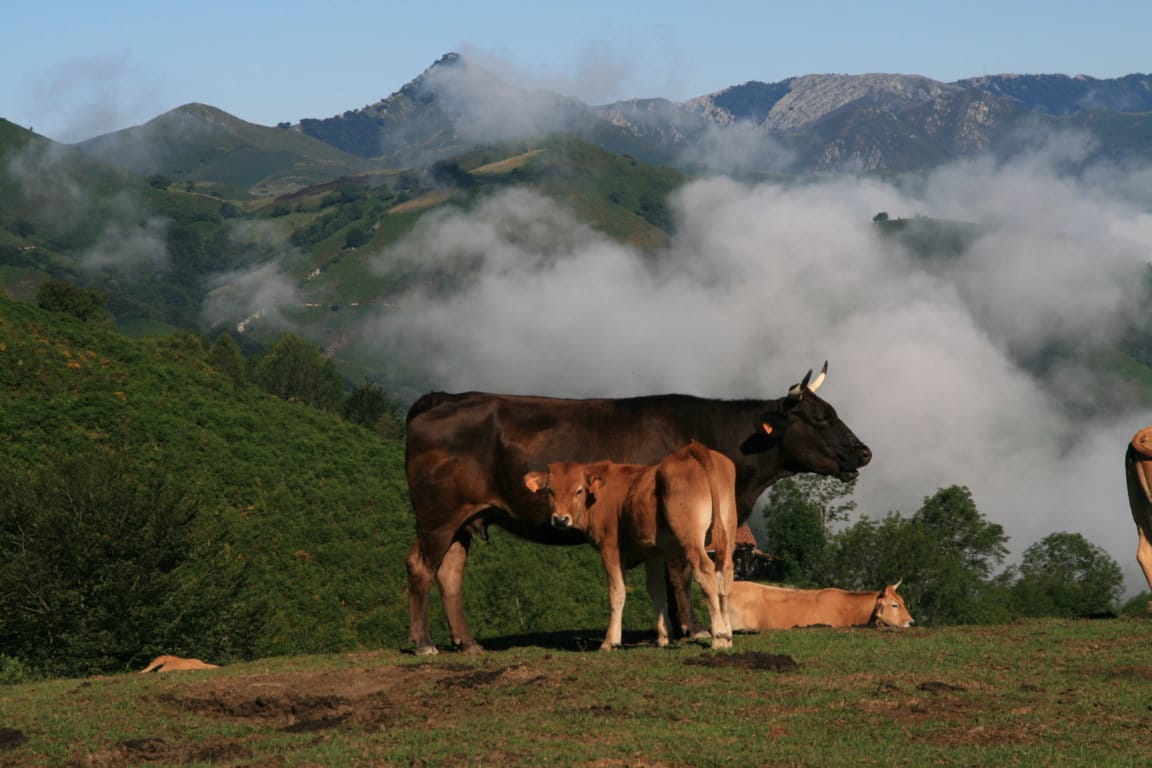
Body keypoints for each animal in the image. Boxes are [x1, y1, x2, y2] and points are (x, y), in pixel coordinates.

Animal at [525, 442, 737, 654]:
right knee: (725, 574)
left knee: (705, 572)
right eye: (550, 490)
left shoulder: (610, 547)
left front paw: (611, 640)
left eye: (578, 490)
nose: (560, 519)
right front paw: (663, 636)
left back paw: (719, 636)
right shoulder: (654, 552)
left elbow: (617, 591)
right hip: (727, 532)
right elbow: (656, 589)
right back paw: (728, 633)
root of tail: (693, 449)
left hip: (690, 539)